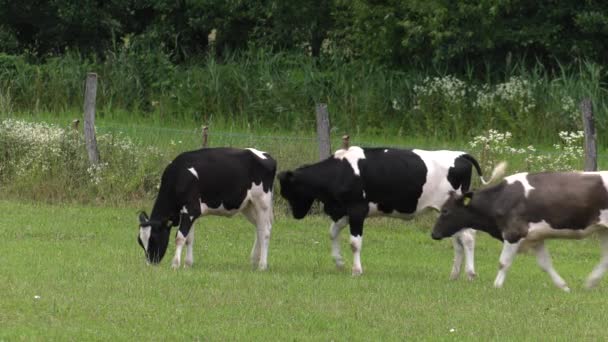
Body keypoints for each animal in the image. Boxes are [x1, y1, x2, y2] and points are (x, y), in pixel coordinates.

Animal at [137, 147, 276, 270]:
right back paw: (254, 261)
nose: (150, 263)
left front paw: (175, 264)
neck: (179, 176)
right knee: (259, 228)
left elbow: (180, 237)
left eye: (154, 239)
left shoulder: (191, 209)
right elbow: (189, 239)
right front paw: (187, 264)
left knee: (265, 231)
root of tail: (267, 155)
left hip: (262, 202)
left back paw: (262, 265)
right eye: (140, 242)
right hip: (248, 206)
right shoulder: (190, 213)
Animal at [276, 147, 504, 278]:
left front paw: (356, 271)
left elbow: (354, 242)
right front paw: (339, 262)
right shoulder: (345, 211)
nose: (296, 214)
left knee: (467, 238)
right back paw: (454, 274)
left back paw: (470, 273)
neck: (341, 170)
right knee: (458, 241)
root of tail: (460, 154)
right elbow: (332, 232)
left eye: (289, 191)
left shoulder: (357, 210)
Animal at [432, 171, 608, 292]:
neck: (500, 198)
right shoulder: (536, 237)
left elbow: (503, 262)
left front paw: (496, 286)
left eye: (445, 211)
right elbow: (545, 264)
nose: (434, 234)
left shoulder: (514, 233)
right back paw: (591, 282)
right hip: (604, 231)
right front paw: (563, 286)